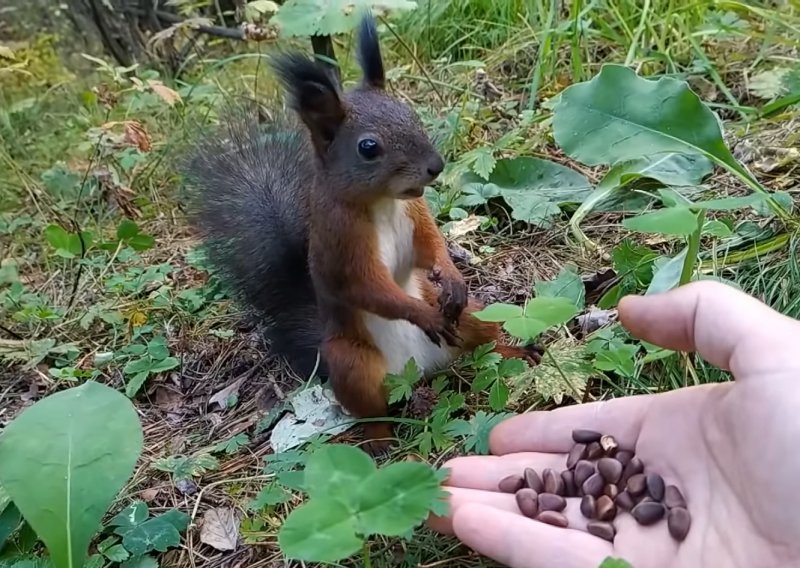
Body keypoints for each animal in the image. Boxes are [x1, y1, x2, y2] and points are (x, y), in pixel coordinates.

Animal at [184, 15, 540, 454]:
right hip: (353, 364)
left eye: (410, 114)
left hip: (472, 316)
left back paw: (518, 350)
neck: (383, 203)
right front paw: (422, 313)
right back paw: (380, 441)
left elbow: (430, 248)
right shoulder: (342, 243)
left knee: (483, 341)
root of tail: (421, 370)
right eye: (368, 148)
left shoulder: (415, 215)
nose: (436, 166)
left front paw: (451, 277)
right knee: (372, 410)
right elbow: (368, 287)